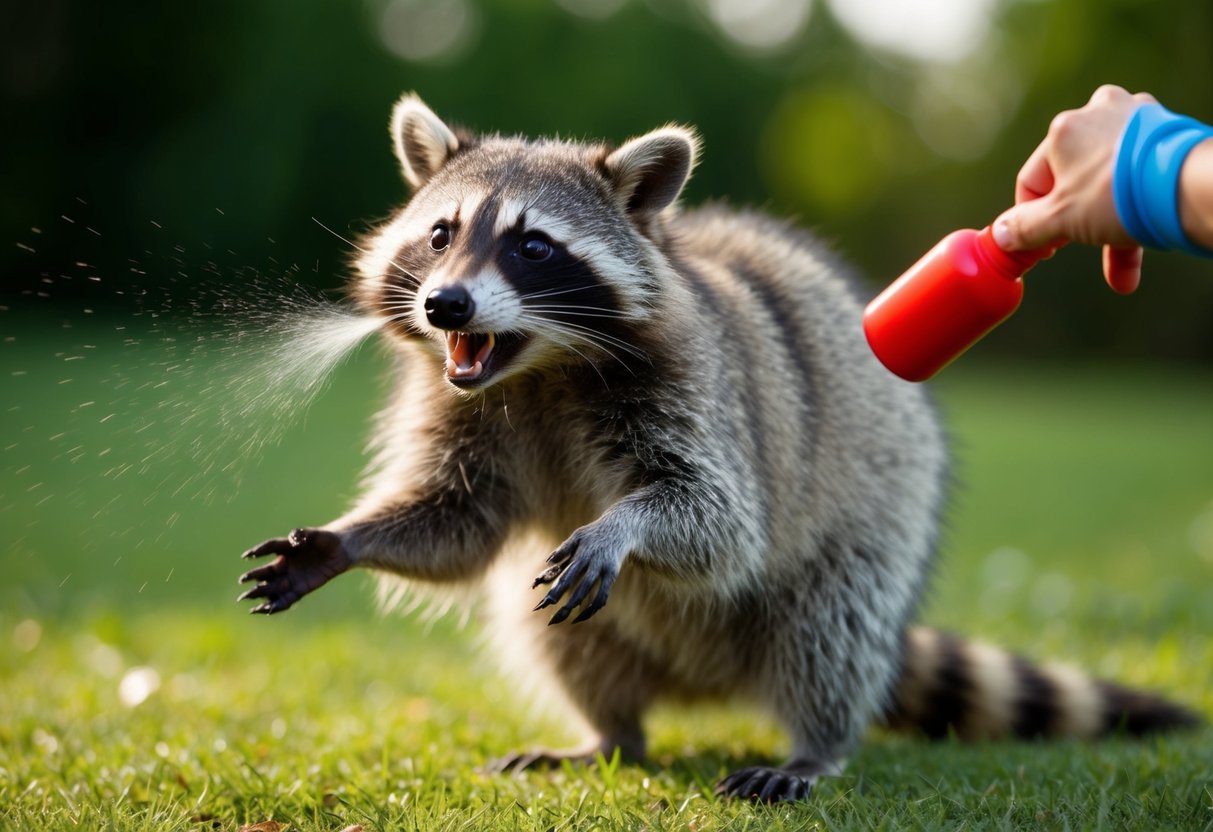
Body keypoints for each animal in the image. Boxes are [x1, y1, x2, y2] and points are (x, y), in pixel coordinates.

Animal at [238, 94, 1199, 802]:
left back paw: (815, 743)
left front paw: (623, 525)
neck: (540, 366)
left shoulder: (699, 393)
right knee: (549, 627)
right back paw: (610, 733)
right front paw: (346, 539)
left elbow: (720, 521)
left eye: (532, 245)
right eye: (440, 234)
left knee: (829, 622)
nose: (445, 306)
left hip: (878, 512)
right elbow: (458, 520)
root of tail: (704, 684)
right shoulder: (465, 407)